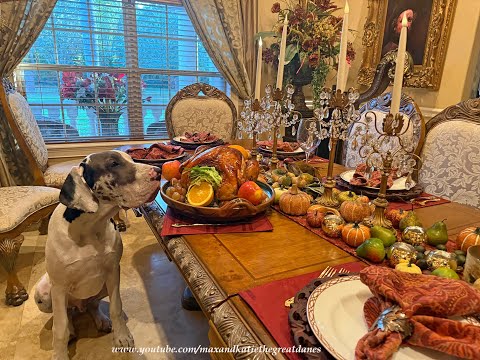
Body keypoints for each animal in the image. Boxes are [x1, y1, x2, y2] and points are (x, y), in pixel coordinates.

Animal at [34, 150, 161, 358]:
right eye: (114, 164)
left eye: (131, 159)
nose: (158, 171)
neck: (89, 228)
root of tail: (79, 306)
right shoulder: (59, 287)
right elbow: (59, 328)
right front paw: (60, 354)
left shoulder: (113, 272)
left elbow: (116, 307)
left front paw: (122, 336)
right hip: (44, 293)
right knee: (67, 314)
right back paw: (72, 329)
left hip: (102, 287)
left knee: (92, 305)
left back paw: (101, 320)